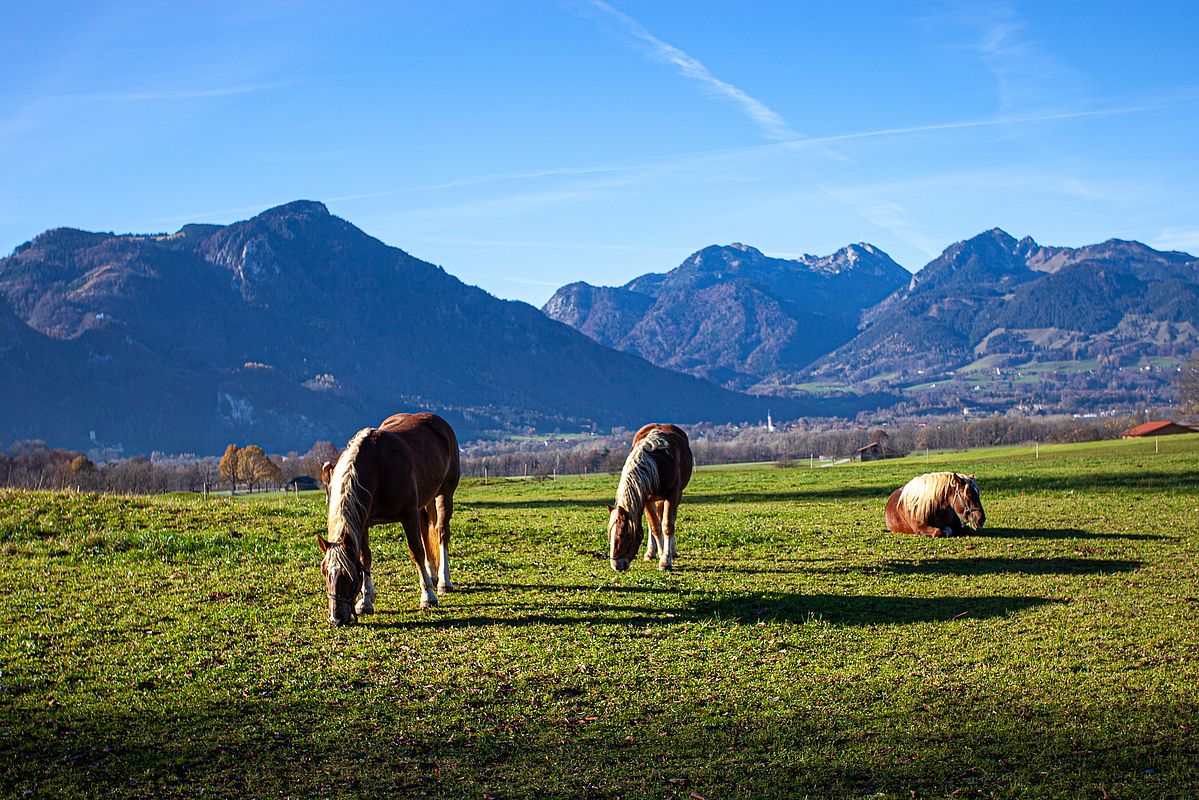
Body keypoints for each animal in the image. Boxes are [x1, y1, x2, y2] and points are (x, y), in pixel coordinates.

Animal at [316, 412, 460, 623]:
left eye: (348, 574)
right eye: (324, 572)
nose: (335, 619)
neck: (377, 469)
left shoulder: (408, 515)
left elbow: (416, 551)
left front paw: (428, 596)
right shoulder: (363, 523)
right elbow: (365, 557)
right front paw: (366, 601)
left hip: (444, 494)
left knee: (441, 534)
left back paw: (443, 581)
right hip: (423, 504)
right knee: (427, 533)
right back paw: (432, 575)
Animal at [609, 422, 695, 573]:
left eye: (622, 535)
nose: (615, 565)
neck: (657, 465)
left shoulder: (672, 495)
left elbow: (667, 525)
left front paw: (666, 559)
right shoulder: (646, 499)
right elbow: (655, 527)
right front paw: (660, 554)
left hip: (674, 495)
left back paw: (672, 551)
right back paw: (651, 552)